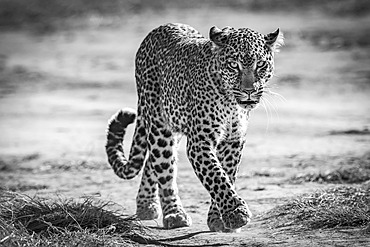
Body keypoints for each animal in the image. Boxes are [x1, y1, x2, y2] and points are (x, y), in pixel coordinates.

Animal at [105, 23, 284, 232]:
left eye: (261, 65)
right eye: (233, 65)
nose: (249, 90)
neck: (231, 102)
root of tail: (161, 27)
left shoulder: (234, 141)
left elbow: (226, 175)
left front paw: (219, 218)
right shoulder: (200, 142)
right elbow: (216, 176)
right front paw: (236, 213)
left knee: (152, 160)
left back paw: (146, 206)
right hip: (159, 124)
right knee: (164, 169)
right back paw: (174, 214)